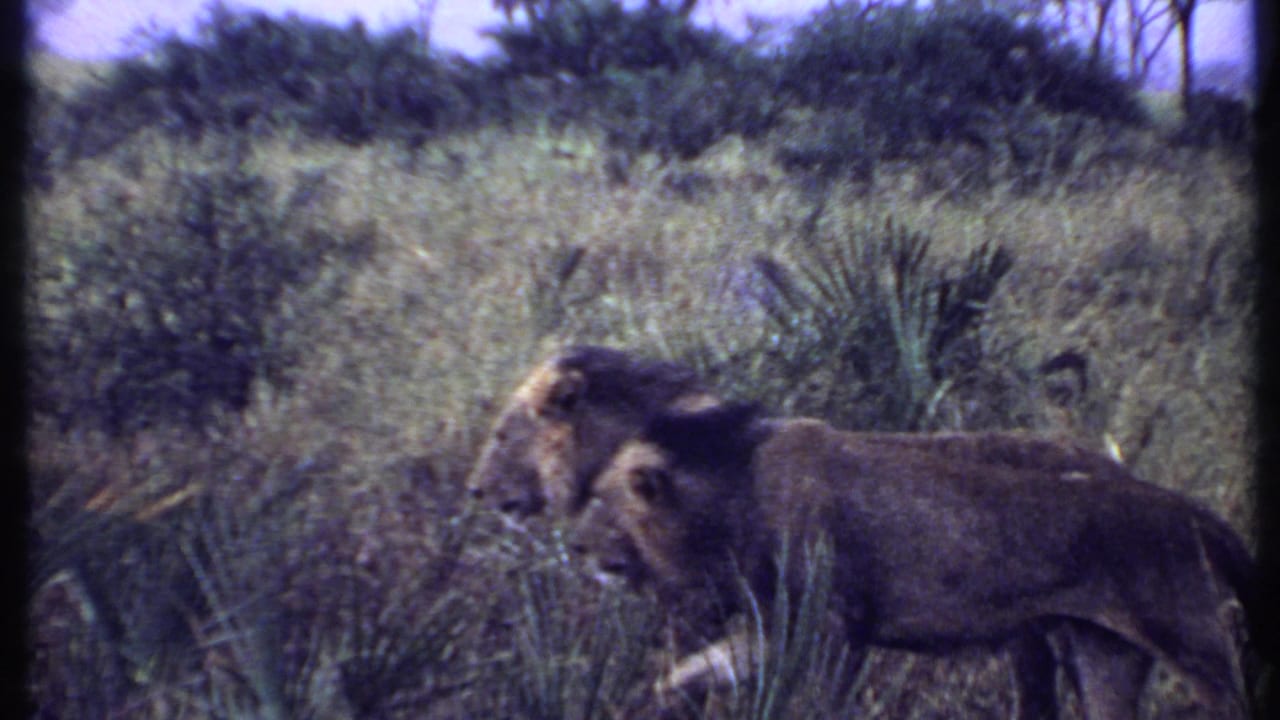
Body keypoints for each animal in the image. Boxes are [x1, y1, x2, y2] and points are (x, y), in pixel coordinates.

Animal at [574, 404, 1260, 719]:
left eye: (603, 501)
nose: (577, 548)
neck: (735, 495)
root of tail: (1187, 508)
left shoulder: (834, 631)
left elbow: (821, 703)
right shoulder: (781, 628)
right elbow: (696, 669)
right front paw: (650, 701)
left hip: (1196, 646)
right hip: (1102, 653)